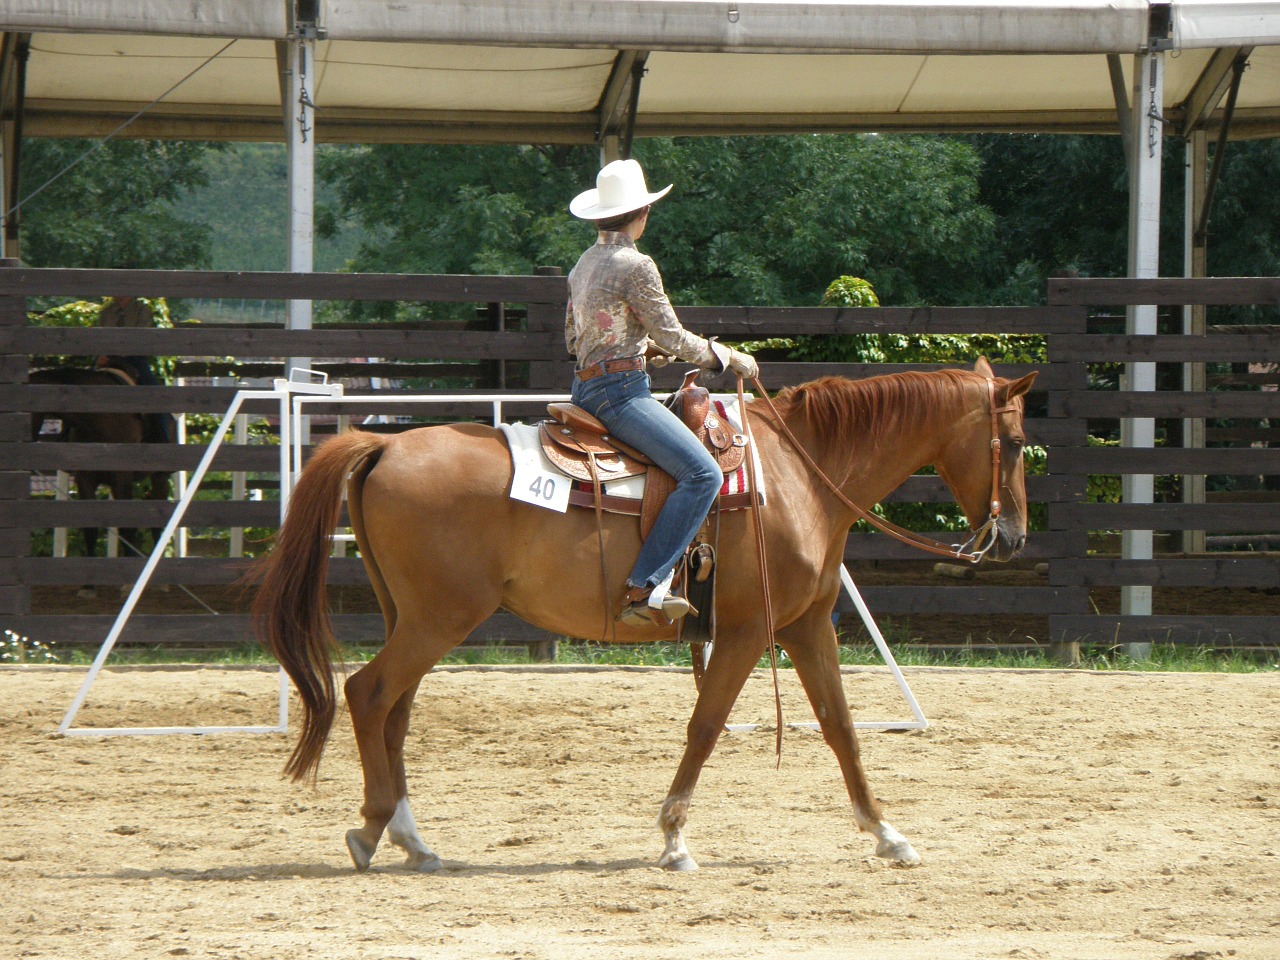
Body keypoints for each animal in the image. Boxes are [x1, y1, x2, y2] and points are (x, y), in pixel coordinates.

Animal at [29, 363, 174, 568]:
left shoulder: (122, 478)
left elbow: (127, 528)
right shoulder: (85, 480)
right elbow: (91, 530)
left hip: (159, 477)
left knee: (157, 524)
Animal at [252, 358, 1039, 875]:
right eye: (1013, 444)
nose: (1013, 538)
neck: (802, 475)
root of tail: (385, 443)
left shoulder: (807, 626)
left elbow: (841, 729)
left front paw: (887, 834)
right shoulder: (746, 634)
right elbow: (706, 726)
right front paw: (673, 838)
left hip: (413, 619)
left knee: (395, 714)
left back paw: (412, 840)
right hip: (437, 620)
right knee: (369, 695)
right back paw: (370, 831)